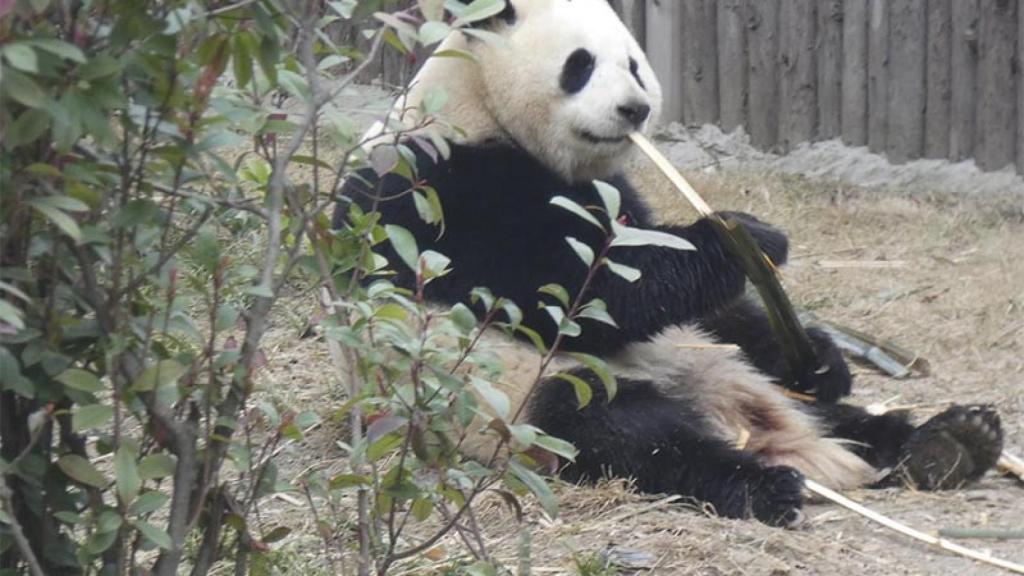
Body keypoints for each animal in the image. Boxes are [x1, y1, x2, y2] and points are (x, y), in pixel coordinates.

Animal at [334, 0, 1004, 526]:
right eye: (581, 65)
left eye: (634, 64)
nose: (635, 110)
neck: (476, 104)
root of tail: (746, 420)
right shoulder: (441, 189)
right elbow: (577, 296)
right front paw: (746, 236)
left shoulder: (613, 190)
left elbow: (707, 306)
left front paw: (818, 357)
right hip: (515, 401)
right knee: (629, 435)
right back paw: (765, 485)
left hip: (730, 371)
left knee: (839, 416)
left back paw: (950, 441)